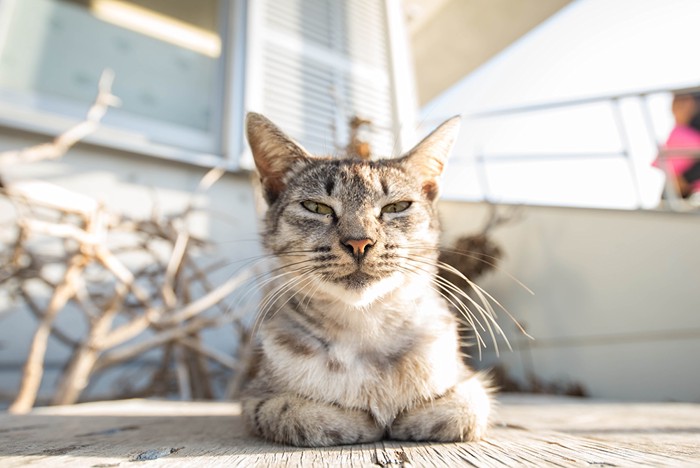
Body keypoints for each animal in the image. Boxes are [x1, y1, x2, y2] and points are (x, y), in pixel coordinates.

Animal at [243, 112, 490, 446]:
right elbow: (293, 411)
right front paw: (354, 418)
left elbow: (466, 407)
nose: (359, 242)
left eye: (396, 207)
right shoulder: (255, 396)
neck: (366, 326)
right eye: (316, 206)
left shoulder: (468, 383)